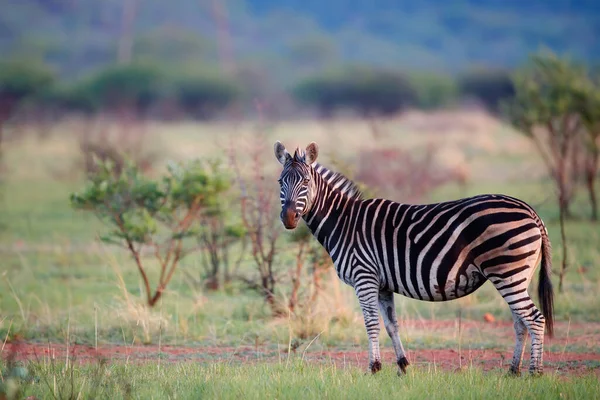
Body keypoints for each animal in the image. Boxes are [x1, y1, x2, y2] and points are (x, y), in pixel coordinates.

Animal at [274, 140, 556, 376]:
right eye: (280, 182)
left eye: (306, 183)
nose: (288, 218)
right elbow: (391, 325)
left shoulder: (364, 276)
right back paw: (513, 371)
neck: (344, 222)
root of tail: (531, 211)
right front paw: (402, 366)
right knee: (520, 322)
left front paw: (374, 368)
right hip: (518, 275)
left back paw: (535, 372)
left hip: (507, 273)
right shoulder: (382, 284)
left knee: (534, 319)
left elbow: (371, 323)